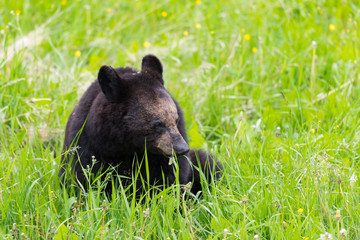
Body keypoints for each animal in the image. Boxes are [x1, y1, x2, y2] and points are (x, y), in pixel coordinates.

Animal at [58, 54, 222, 195]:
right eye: (158, 124)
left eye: (176, 120)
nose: (182, 149)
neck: (127, 147)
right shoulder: (86, 144)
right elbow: (83, 178)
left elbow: (170, 178)